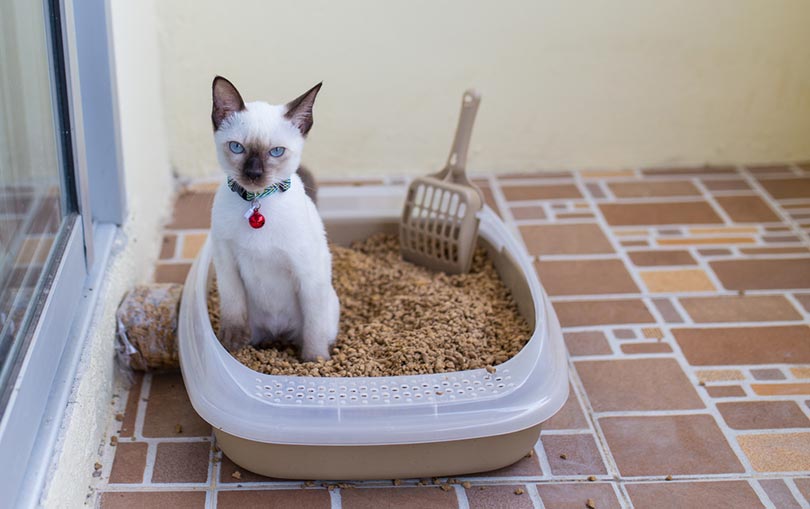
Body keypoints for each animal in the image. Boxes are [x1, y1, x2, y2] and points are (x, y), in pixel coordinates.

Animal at [208, 75, 338, 362]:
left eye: (276, 152)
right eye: (237, 147)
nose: (254, 174)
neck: (257, 202)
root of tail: (278, 334)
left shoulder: (306, 272)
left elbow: (313, 329)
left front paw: (314, 361)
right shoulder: (226, 262)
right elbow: (233, 309)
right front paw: (230, 345)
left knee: (315, 329)